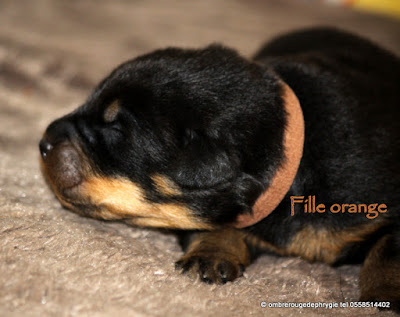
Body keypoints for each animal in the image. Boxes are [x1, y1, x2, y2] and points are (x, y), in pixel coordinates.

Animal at [39, 28, 400, 310]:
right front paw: (211, 254)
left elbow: (388, 250)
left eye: (116, 128)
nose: (43, 143)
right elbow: (211, 224)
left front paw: (386, 295)